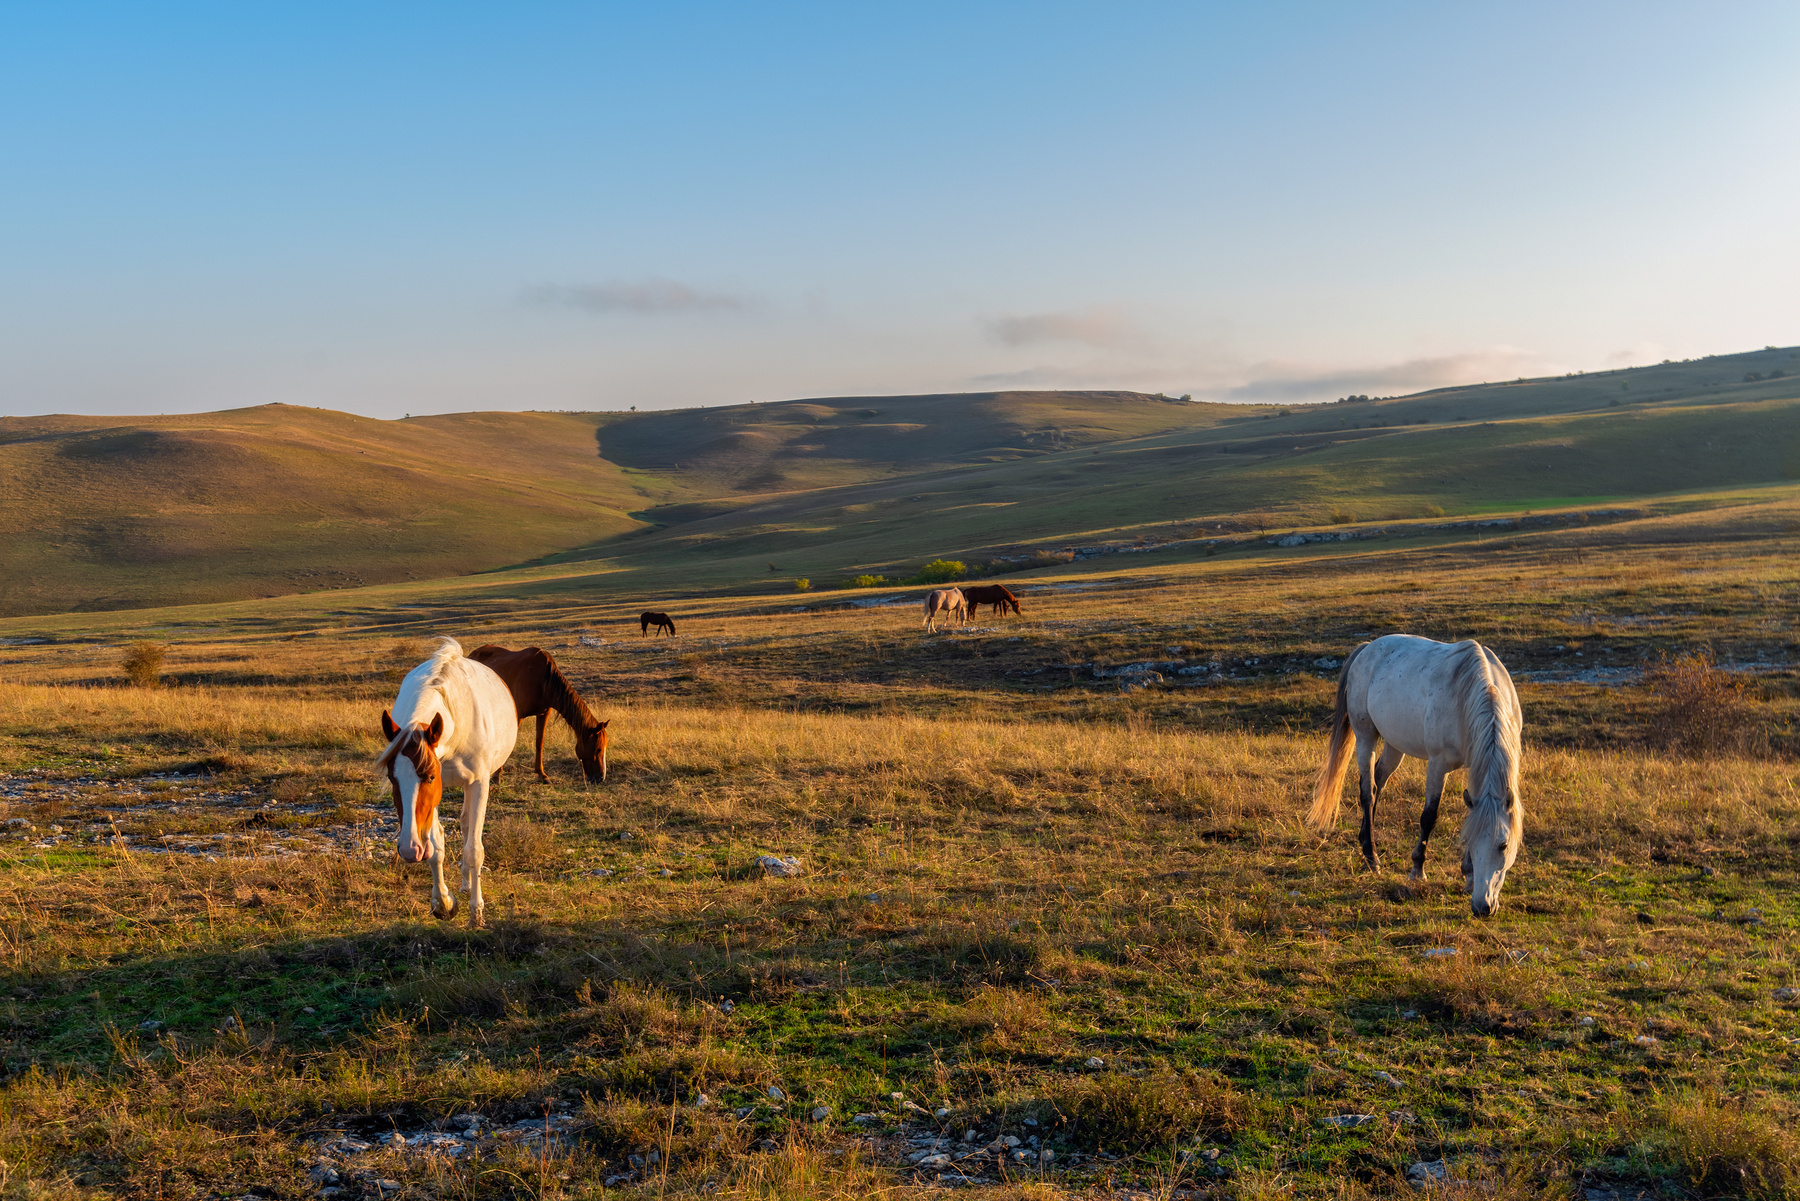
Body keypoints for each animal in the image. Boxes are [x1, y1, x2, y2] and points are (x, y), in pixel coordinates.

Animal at [376, 638, 518, 926]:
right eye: (392, 778)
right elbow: (436, 847)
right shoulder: (432, 802)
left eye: (430, 776)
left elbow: (474, 850)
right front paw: (443, 903)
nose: (409, 850)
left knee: (468, 829)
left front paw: (476, 913)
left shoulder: (478, 783)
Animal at [469, 645, 609, 783]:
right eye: (598, 749)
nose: (600, 778)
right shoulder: (518, 715)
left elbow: (539, 742)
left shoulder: (543, 714)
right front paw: (496, 776)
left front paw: (541, 774)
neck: (543, 680)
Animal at [1306, 634, 1524, 917]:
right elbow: (1429, 816)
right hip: (1366, 736)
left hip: (1394, 745)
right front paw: (1418, 870)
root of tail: (1367, 649)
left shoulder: (1475, 764)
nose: (1481, 907)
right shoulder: (1438, 764)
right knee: (1367, 791)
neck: (1474, 692)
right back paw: (1371, 857)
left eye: (1503, 845)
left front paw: (1468, 875)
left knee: (1377, 783)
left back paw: (1365, 839)